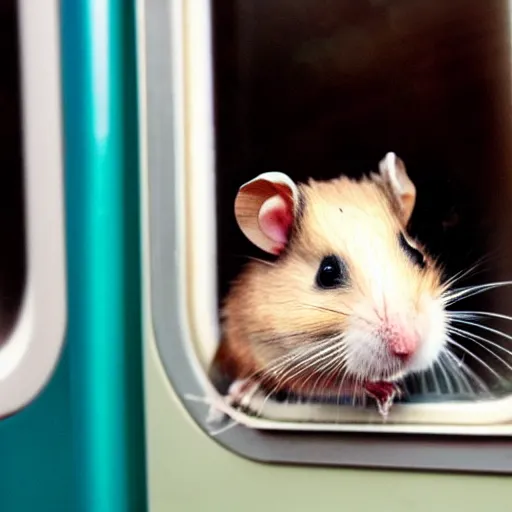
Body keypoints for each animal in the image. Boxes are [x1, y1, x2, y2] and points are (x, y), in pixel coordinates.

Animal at [210, 153, 446, 416]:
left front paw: (393, 393)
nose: (409, 348)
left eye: (418, 256)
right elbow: (328, 382)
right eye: (327, 273)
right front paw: (387, 395)